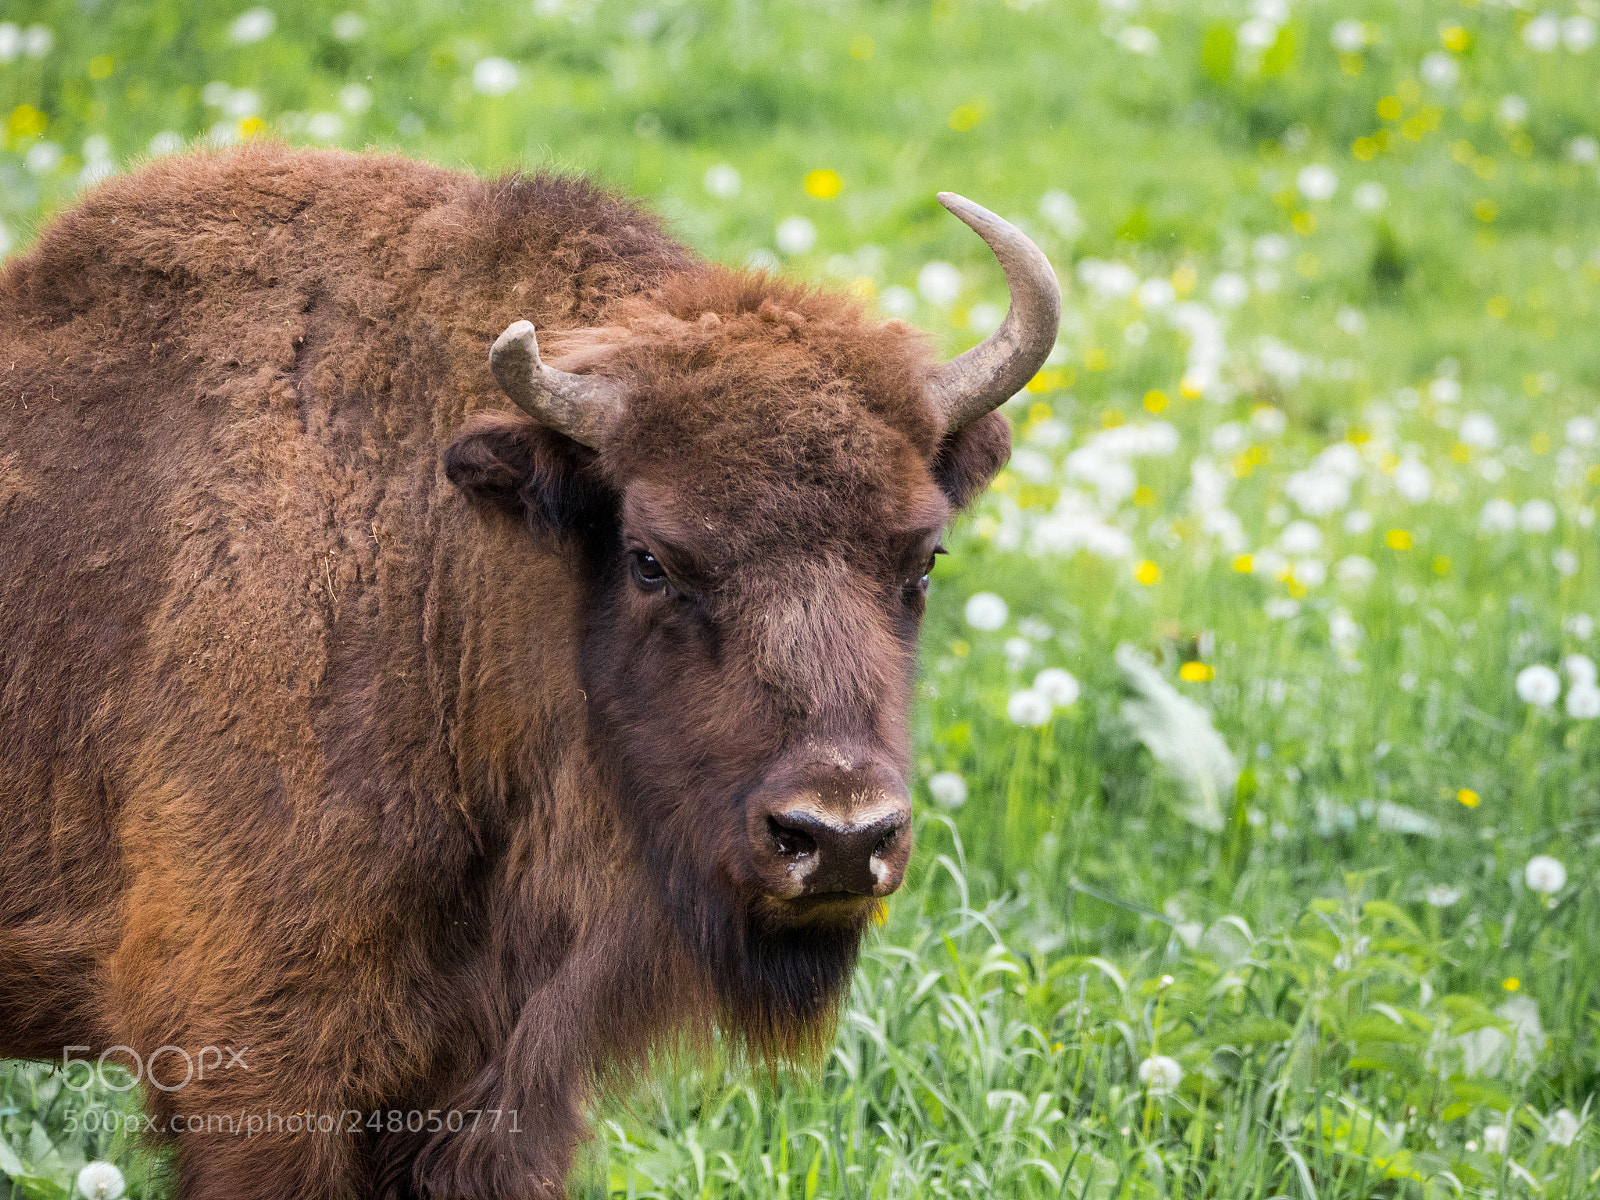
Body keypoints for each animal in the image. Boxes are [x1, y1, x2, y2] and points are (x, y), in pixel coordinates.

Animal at [0, 144, 1058, 1199]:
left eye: (923, 560)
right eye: (650, 559)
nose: (838, 838)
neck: (440, 568)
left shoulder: (494, 1080)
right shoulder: (255, 1058)